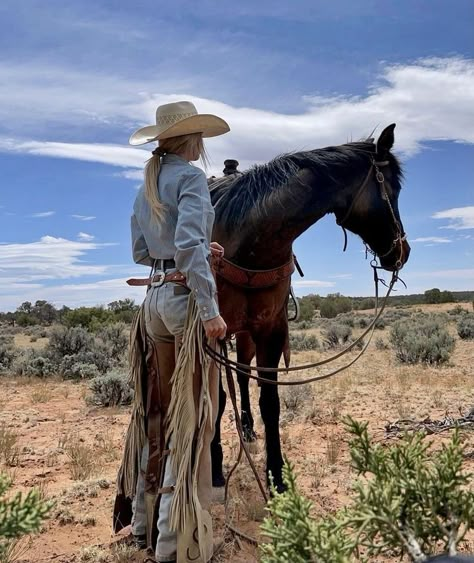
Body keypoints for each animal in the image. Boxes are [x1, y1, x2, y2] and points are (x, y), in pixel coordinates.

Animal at [208, 124, 412, 494]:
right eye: (393, 188)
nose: (402, 251)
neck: (248, 246)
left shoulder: (270, 331)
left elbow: (270, 403)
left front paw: (276, 476)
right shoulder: (210, 333)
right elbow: (214, 399)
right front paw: (214, 465)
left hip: (245, 334)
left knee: (242, 376)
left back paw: (247, 428)